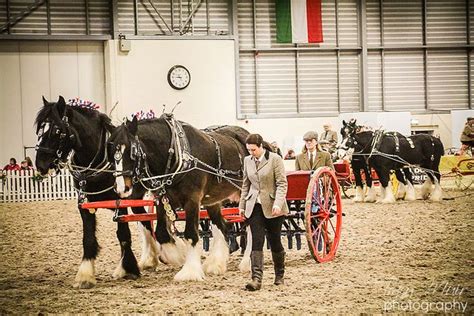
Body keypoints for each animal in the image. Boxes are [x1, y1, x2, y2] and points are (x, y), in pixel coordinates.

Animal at [34, 96, 159, 288]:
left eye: (57, 130)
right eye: (40, 129)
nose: (40, 165)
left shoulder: (120, 203)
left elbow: (123, 235)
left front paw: (128, 269)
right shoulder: (85, 205)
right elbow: (88, 238)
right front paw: (85, 275)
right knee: (145, 220)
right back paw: (150, 258)